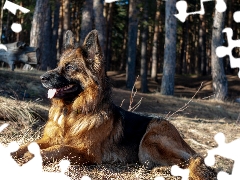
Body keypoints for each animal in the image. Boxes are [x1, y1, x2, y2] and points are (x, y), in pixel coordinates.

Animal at [11, 30, 216, 179]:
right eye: (58, 65)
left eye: (69, 67)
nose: (42, 78)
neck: (72, 112)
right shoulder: (48, 139)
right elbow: (27, 144)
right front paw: (15, 152)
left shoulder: (85, 152)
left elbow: (59, 149)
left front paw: (32, 156)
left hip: (150, 138)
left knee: (190, 161)